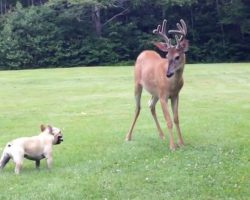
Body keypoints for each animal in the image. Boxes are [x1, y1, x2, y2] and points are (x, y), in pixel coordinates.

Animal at [126, 19, 188, 150]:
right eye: (167, 56)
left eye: (177, 57)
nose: (168, 73)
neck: (172, 84)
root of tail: (143, 52)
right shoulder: (163, 95)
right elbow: (168, 121)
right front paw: (172, 146)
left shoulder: (175, 95)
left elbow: (176, 119)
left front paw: (181, 143)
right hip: (137, 83)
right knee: (137, 108)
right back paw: (128, 136)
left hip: (155, 92)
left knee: (151, 105)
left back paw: (161, 135)